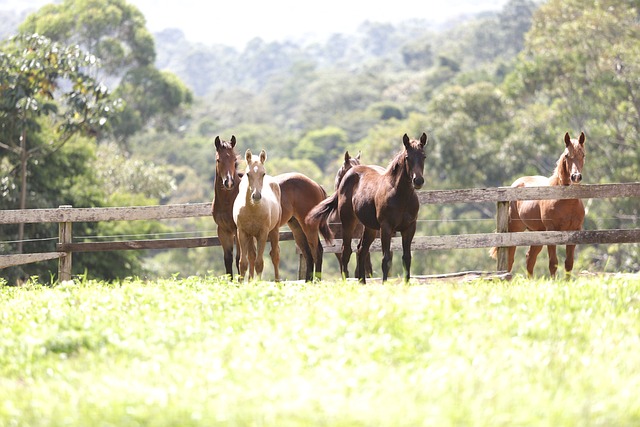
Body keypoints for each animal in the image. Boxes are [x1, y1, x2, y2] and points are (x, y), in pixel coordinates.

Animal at [230, 150, 280, 280]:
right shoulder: (242, 233)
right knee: (252, 255)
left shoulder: (263, 233)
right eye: (248, 174)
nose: (256, 196)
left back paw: (277, 281)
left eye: (263, 173)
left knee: (275, 255)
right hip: (251, 236)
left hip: (275, 230)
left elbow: (259, 263)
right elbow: (243, 263)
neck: (252, 209)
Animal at [492, 131, 588, 278]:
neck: (566, 201)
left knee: (530, 259)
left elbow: (569, 263)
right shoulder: (551, 231)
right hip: (514, 229)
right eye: (567, 155)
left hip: (537, 233)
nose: (575, 177)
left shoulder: (574, 231)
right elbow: (553, 263)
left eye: (583, 155)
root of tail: (517, 183)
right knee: (510, 258)